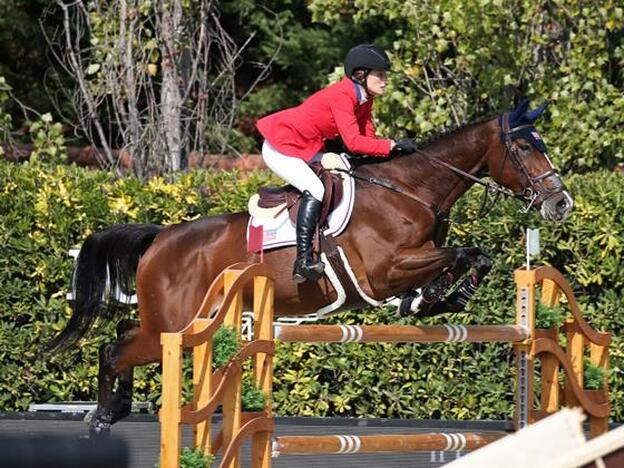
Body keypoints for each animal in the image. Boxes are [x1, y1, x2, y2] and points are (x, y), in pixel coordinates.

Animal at [47, 98, 576, 436]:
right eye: (525, 148)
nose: (561, 204)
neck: (410, 191)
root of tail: (160, 239)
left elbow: (477, 256)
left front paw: (437, 298)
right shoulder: (383, 271)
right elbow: (462, 254)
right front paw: (440, 294)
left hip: (177, 321)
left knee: (121, 339)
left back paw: (112, 410)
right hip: (174, 325)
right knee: (115, 349)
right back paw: (101, 418)